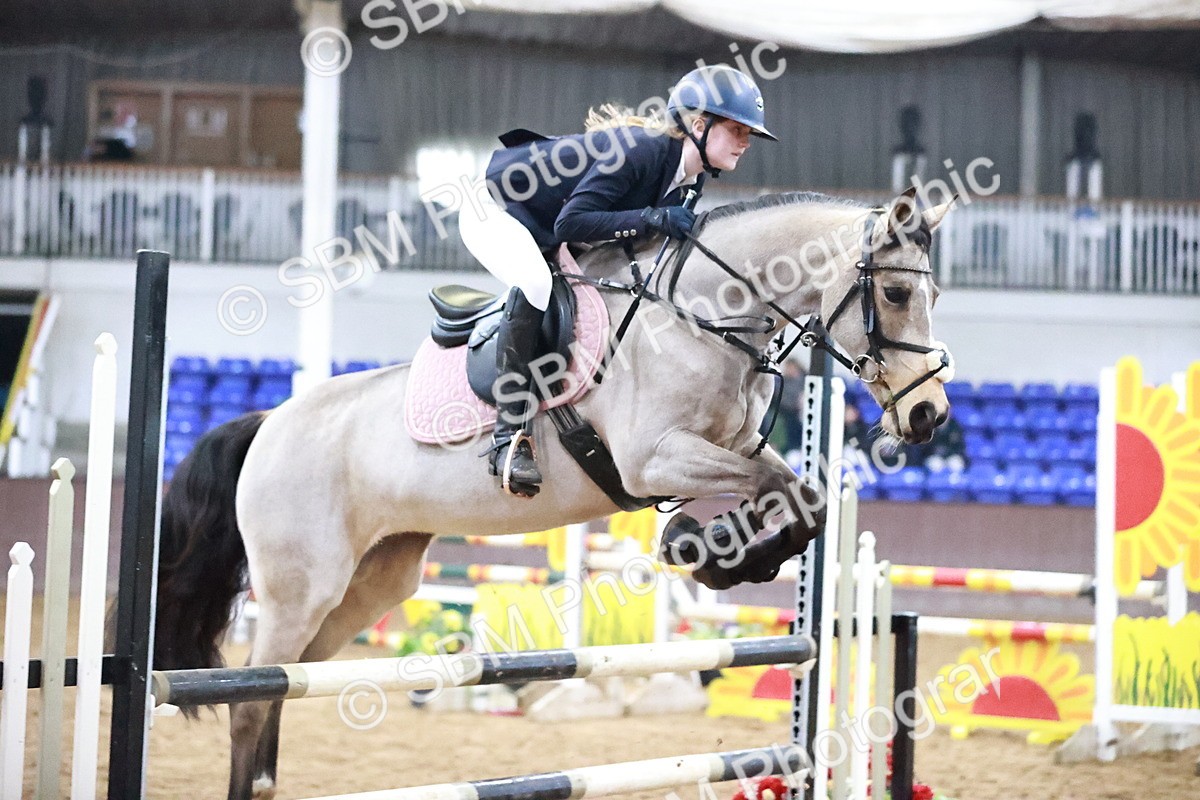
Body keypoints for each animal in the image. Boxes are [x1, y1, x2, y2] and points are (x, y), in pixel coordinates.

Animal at [154, 188, 955, 799]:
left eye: (933, 295)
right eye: (895, 293)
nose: (929, 416)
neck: (699, 314)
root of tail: (268, 423)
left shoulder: (732, 447)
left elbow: (801, 493)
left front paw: (716, 552)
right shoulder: (654, 461)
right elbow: (780, 490)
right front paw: (705, 549)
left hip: (368, 585)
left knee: (283, 685)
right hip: (302, 586)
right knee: (250, 699)